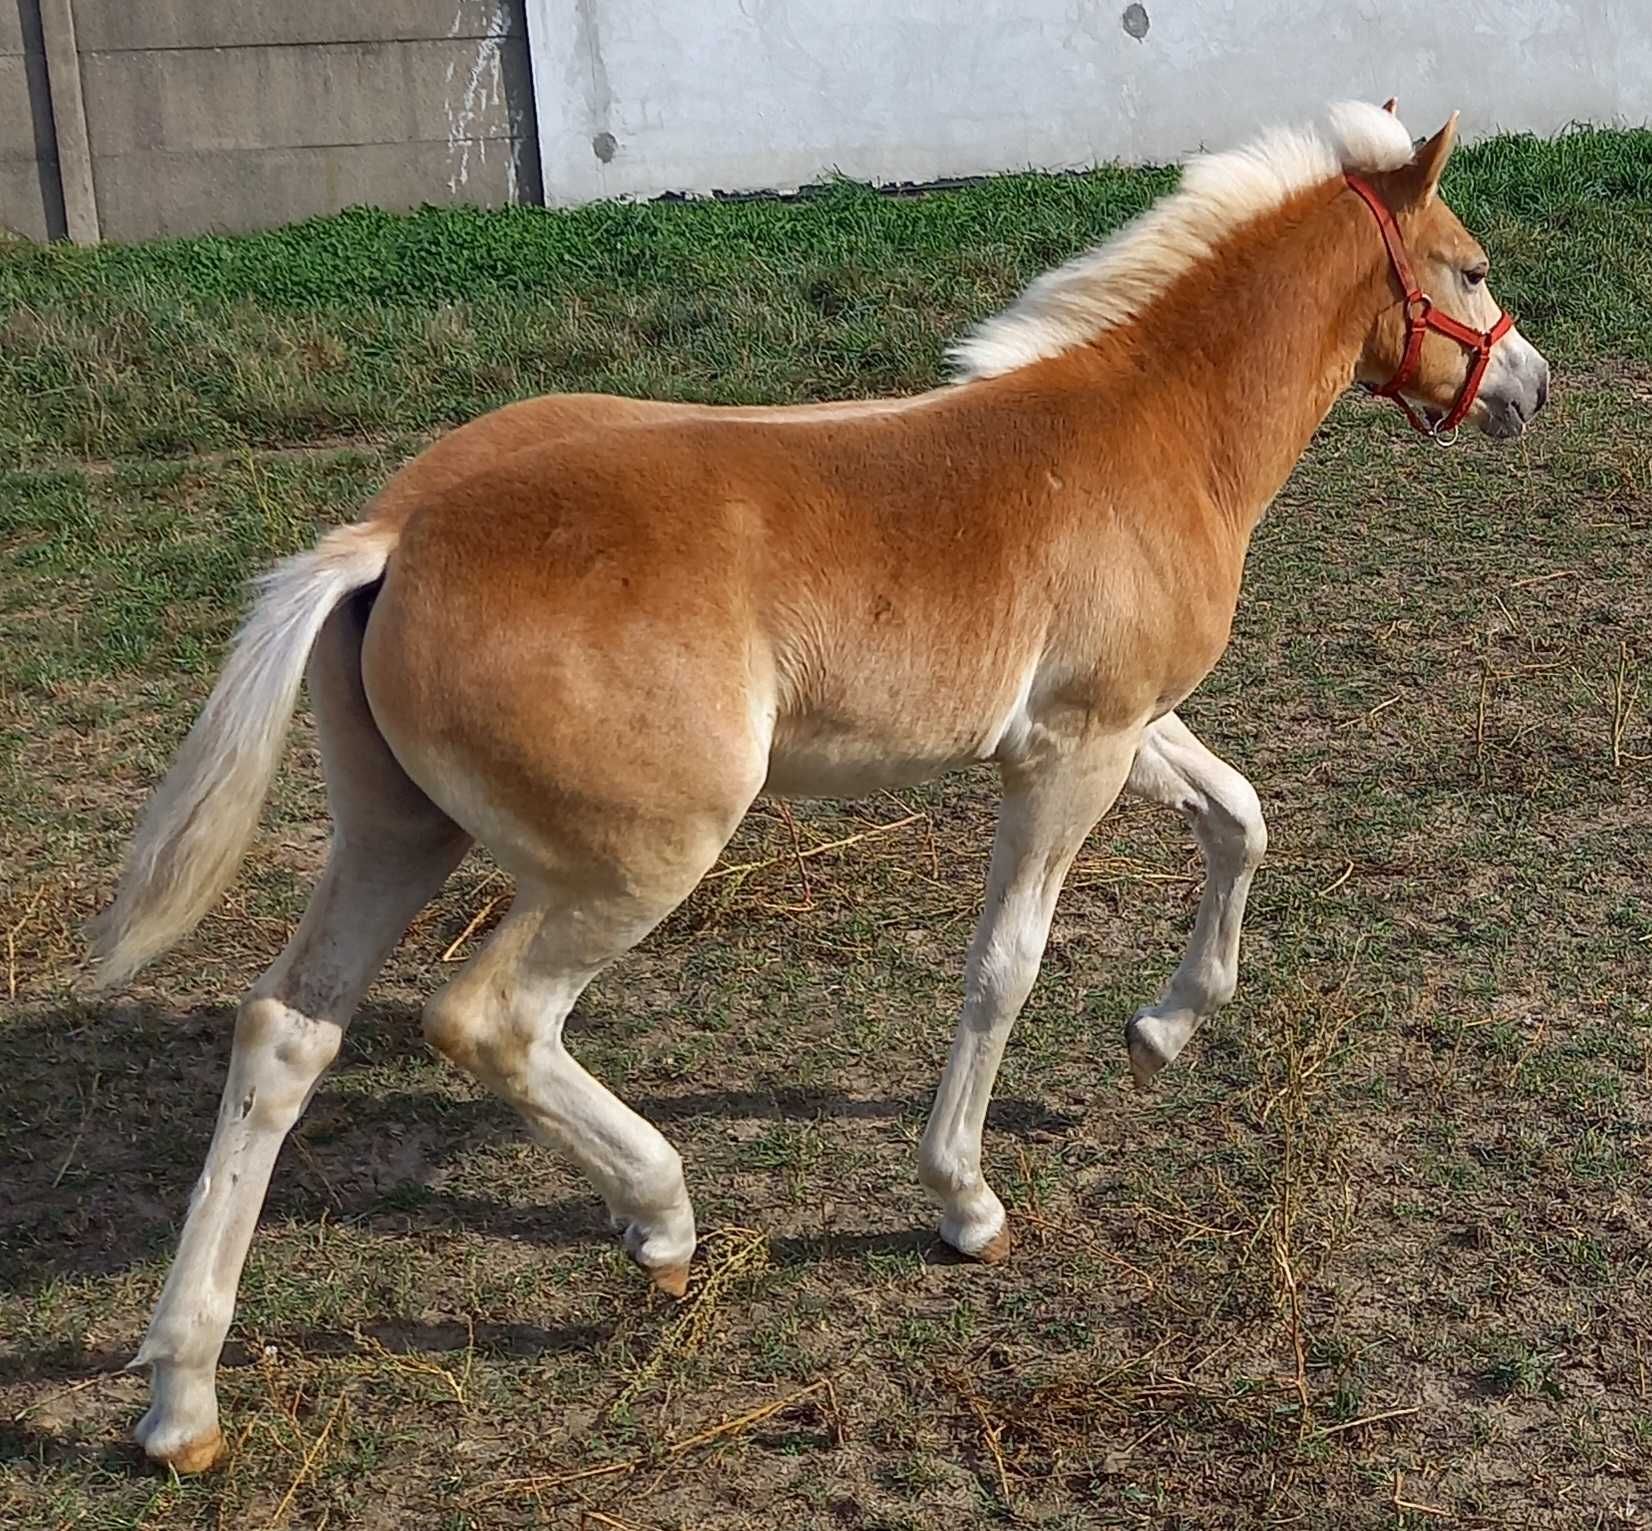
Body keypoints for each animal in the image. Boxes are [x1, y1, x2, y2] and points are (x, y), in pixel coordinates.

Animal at [90, 98, 1539, 1473]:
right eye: (1468, 269)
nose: (1529, 385)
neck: (1147, 432)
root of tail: (397, 532)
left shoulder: (1118, 724)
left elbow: (1237, 817)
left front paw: (1162, 1029)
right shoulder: (1071, 750)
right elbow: (1005, 963)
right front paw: (963, 1200)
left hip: (400, 831)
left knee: (286, 1029)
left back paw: (181, 1398)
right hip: (644, 849)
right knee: (489, 1017)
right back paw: (660, 1218)